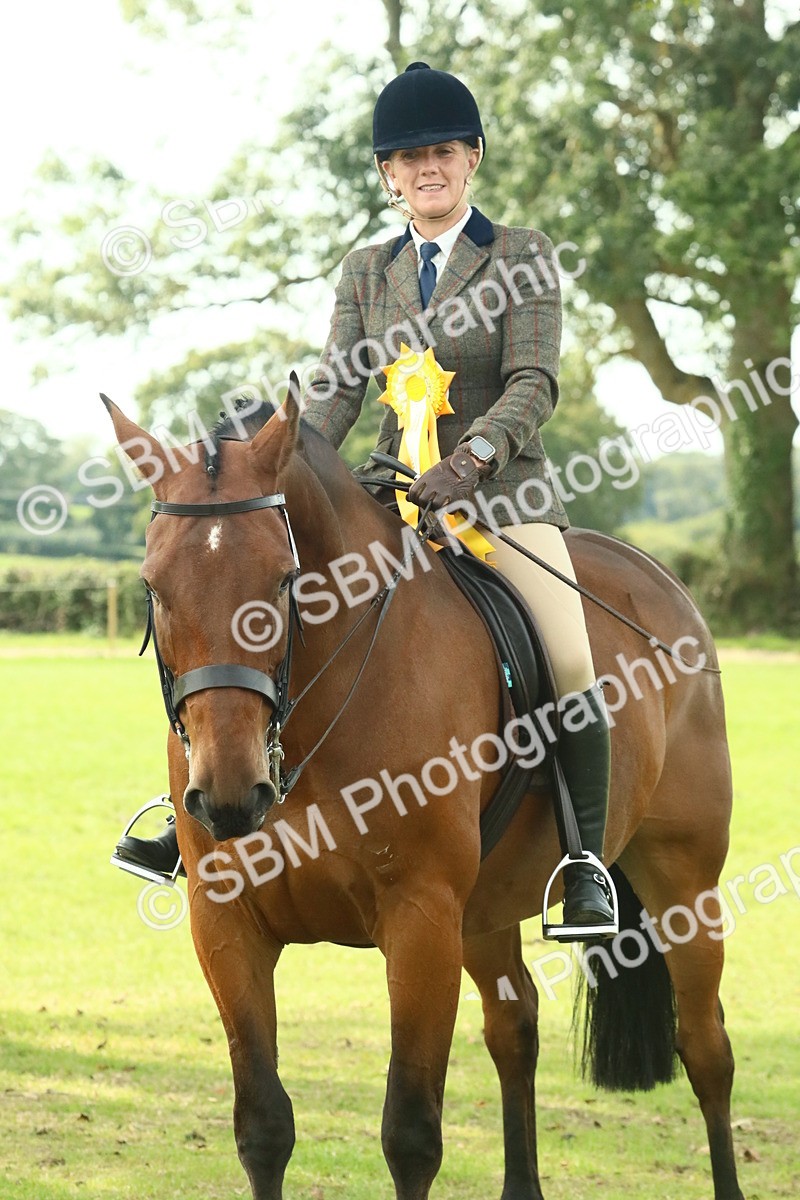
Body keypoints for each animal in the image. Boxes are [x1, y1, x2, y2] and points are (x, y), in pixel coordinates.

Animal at [102, 387, 744, 1200]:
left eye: (285, 579)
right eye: (154, 587)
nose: (227, 797)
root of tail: (659, 581)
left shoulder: (421, 916)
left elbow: (409, 1132)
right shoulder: (226, 924)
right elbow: (263, 1126)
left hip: (682, 878)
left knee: (706, 1047)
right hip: (487, 905)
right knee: (514, 1029)